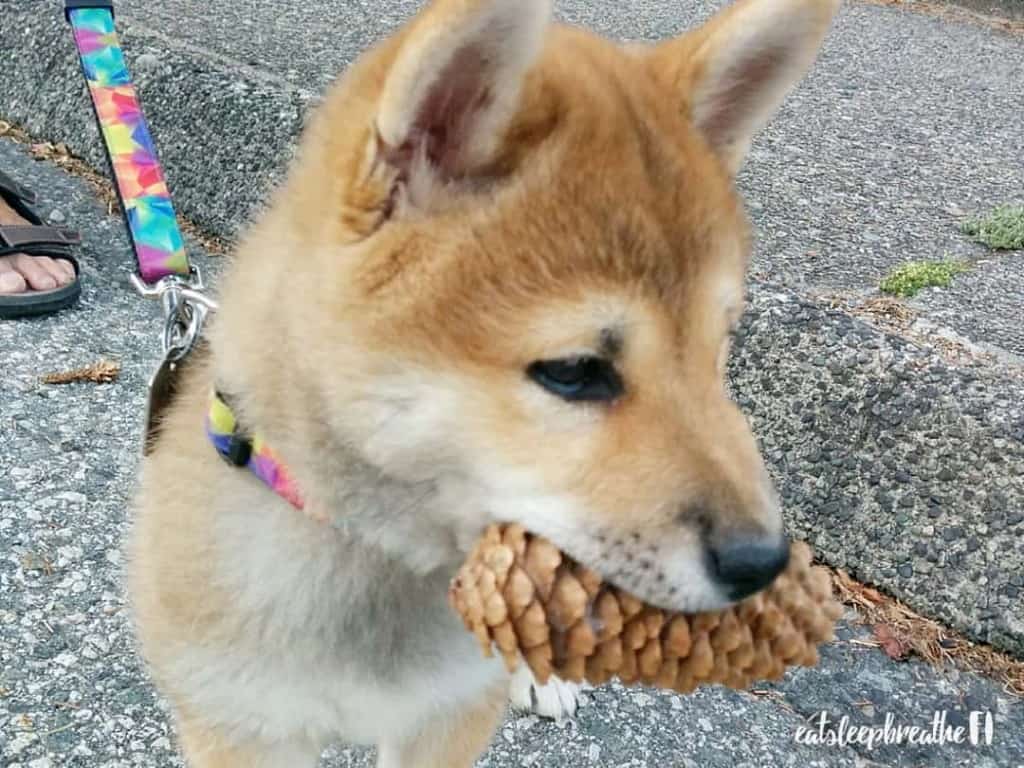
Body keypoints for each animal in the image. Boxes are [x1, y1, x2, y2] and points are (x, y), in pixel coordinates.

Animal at [128, 0, 839, 765]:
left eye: (717, 353)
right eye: (574, 371)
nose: (762, 562)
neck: (373, 550)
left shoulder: (447, 719)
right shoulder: (240, 726)